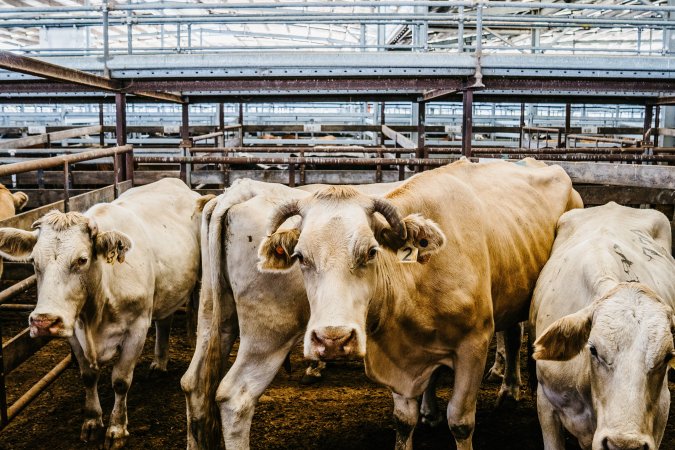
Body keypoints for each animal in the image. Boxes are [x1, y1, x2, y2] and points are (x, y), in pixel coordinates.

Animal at [0, 178, 202, 448]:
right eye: (33, 261)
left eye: (82, 259)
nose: (44, 321)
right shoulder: (74, 332)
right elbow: (88, 377)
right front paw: (92, 422)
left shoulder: (137, 328)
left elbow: (120, 381)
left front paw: (116, 429)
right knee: (164, 321)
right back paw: (159, 363)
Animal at [256, 159, 584, 450]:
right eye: (300, 256)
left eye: (371, 251)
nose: (333, 339)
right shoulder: (398, 354)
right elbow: (404, 420)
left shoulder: (474, 344)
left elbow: (460, 421)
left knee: (516, 337)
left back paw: (510, 390)